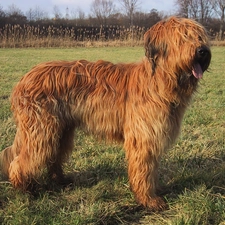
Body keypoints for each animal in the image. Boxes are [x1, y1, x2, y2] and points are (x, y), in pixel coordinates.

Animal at [0, 17, 211, 211]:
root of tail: (24, 79)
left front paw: (155, 191)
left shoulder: (152, 138)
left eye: (199, 36)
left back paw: (61, 180)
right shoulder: (143, 138)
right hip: (41, 129)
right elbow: (144, 171)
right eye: (183, 38)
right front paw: (149, 200)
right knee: (24, 160)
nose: (203, 51)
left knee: (54, 156)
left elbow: (152, 169)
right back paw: (26, 188)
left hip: (61, 130)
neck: (160, 82)